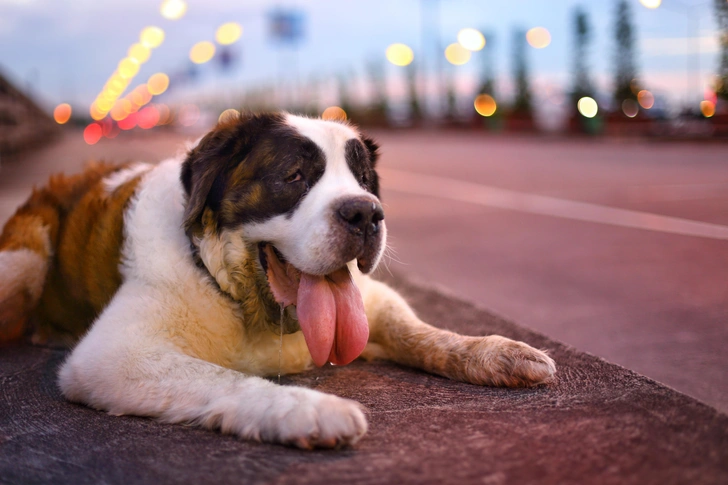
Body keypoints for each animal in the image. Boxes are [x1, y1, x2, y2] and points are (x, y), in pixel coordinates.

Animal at [0, 112, 556, 446]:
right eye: (294, 177)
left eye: (364, 181)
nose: (365, 213)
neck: (239, 294)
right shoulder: (116, 355)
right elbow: (225, 377)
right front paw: (313, 411)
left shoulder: (372, 302)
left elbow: (418, 331)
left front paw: (495, 351)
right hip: (22, 257)